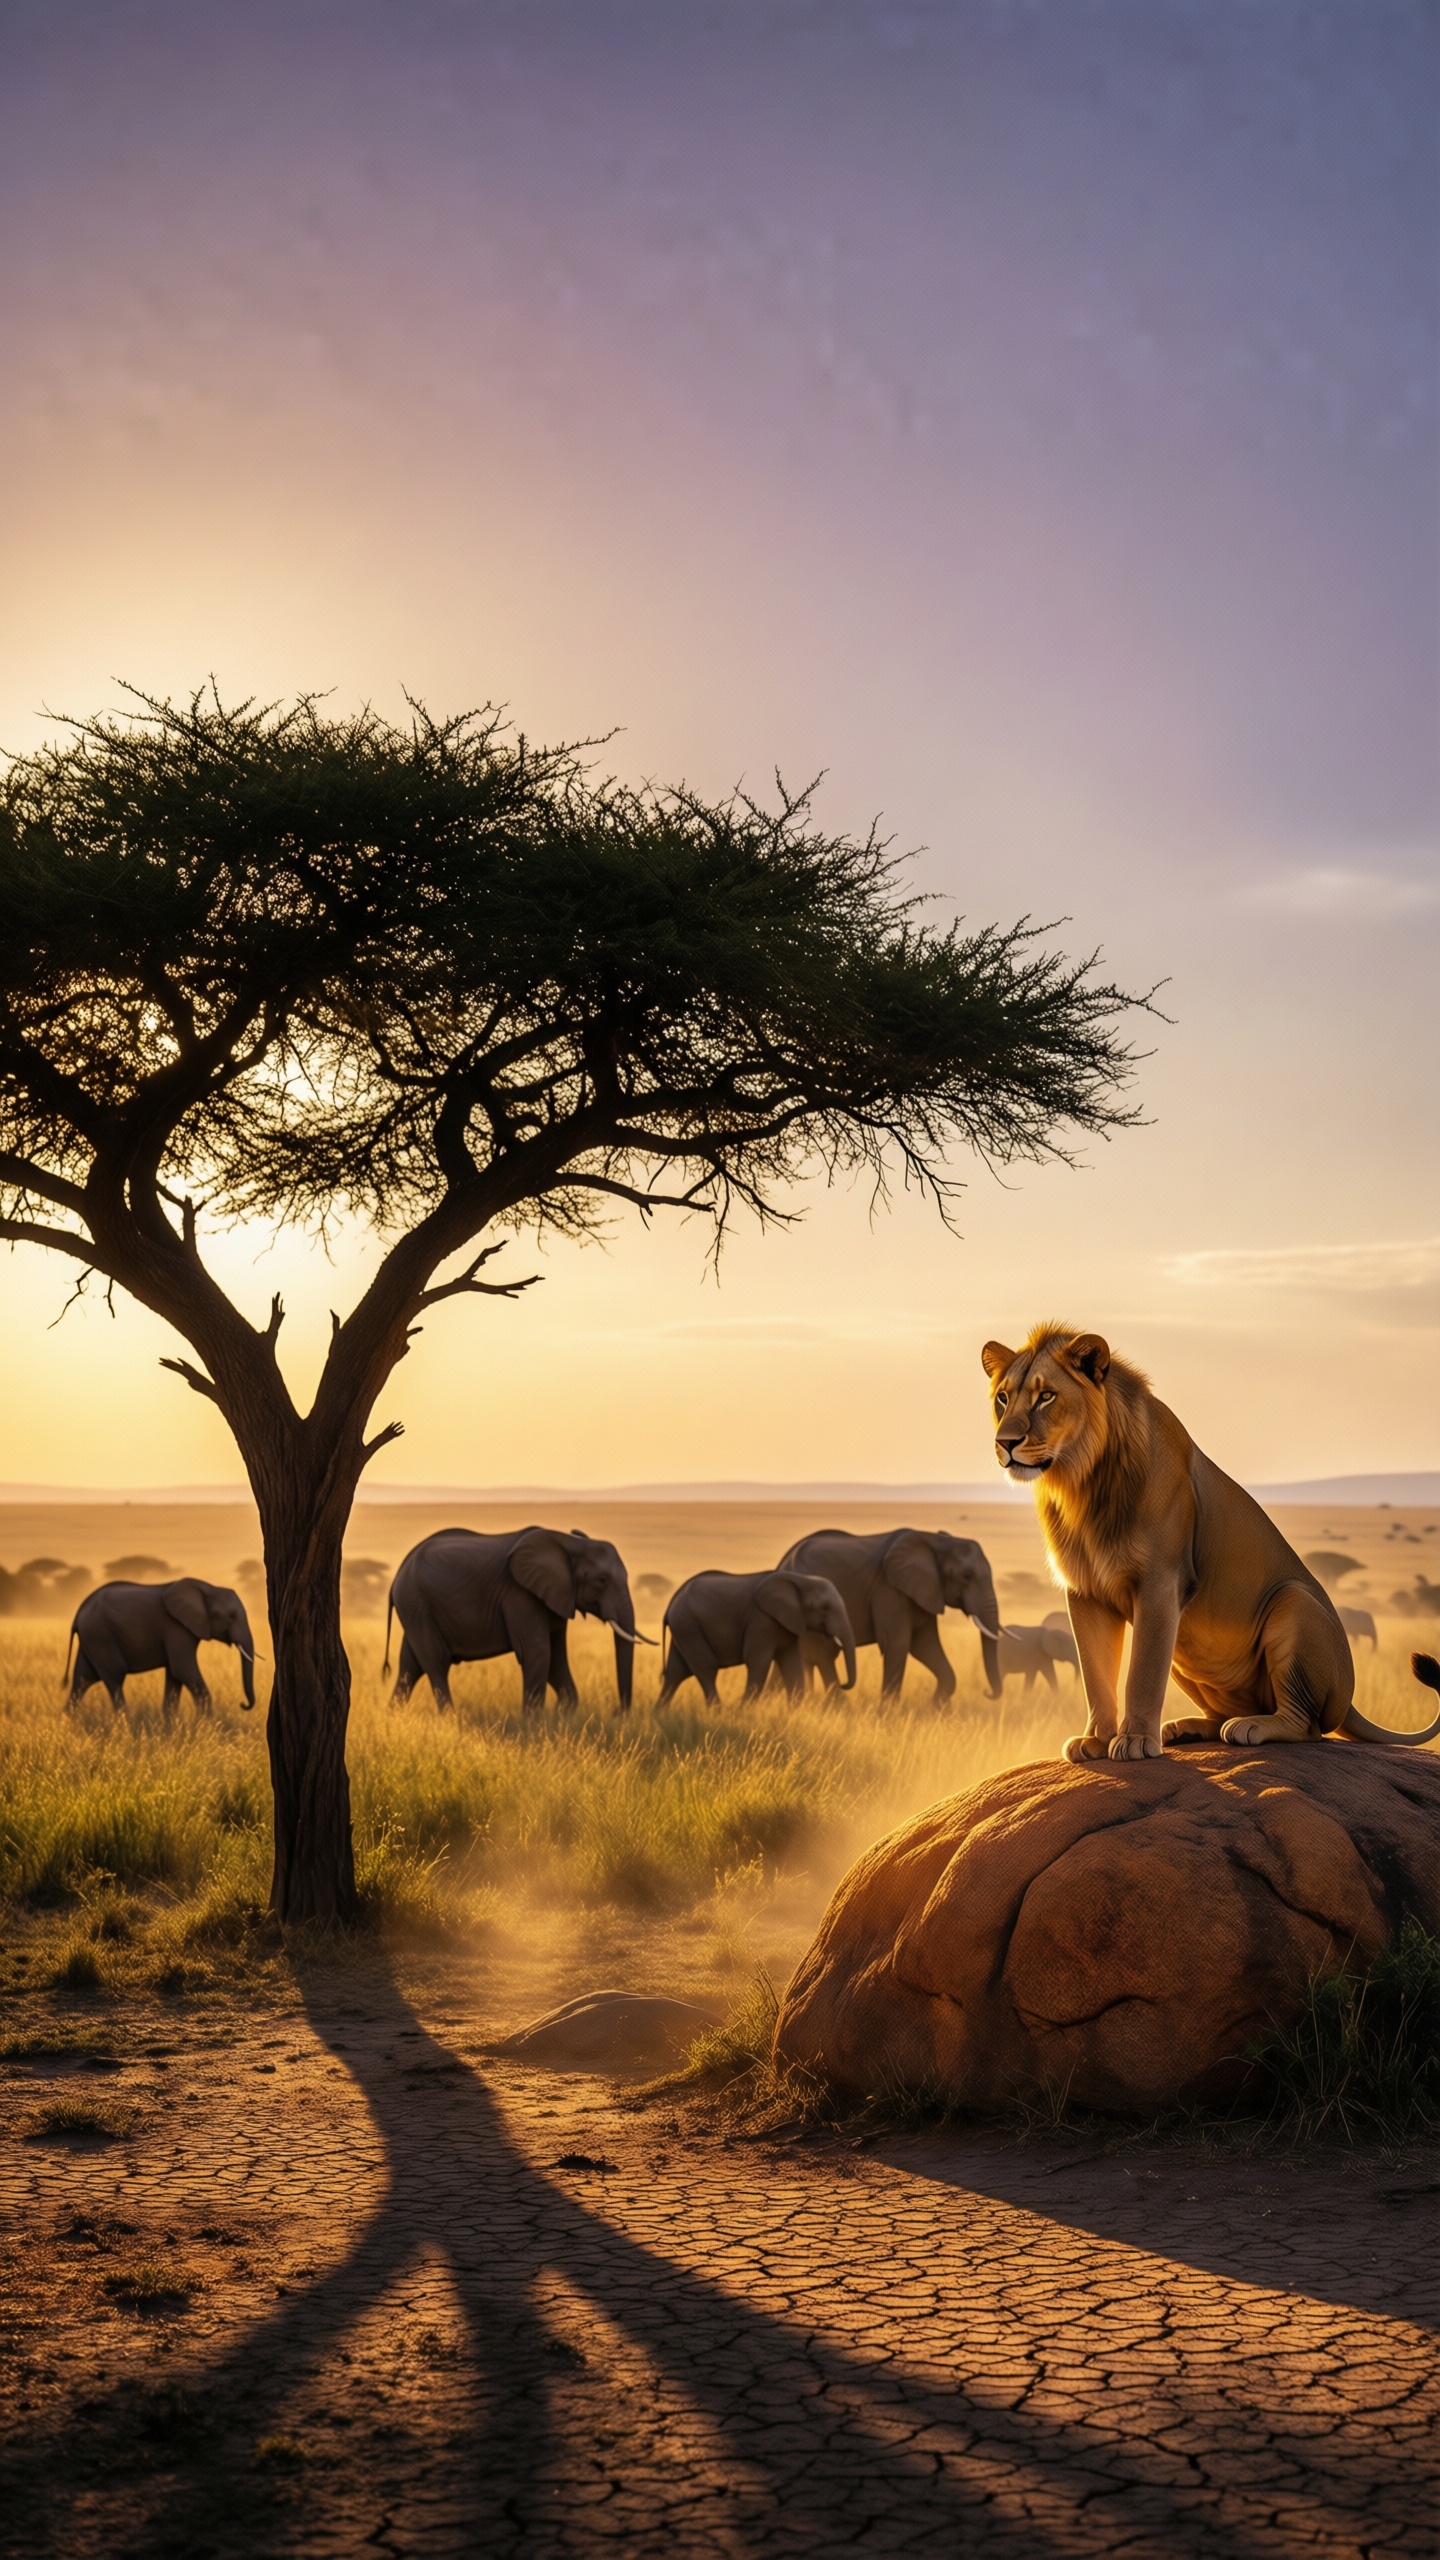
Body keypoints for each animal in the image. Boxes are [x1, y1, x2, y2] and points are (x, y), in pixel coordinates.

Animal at [66, 1578, 257, 1715]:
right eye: (231, 1616)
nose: (243, 1704)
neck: (208, 1588)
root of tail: (78, 1613)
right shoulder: (176, 1628)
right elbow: (182, 1670)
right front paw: (205, 1730)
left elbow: (175, 1676)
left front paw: (171, 1731)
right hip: (100, 1636)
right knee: (114, 1678)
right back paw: (126, 1727)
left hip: (92, 1639)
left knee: (82, 1680)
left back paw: (68, 1725)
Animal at [385, 1526, 646, 1712]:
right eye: (602, 1580)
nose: (616, 1711)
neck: (568, 1543)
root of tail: (397, 1575)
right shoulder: (519, 1595)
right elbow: (538, 1652)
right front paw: (533, 1728)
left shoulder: (556, 1597)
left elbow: (555, 1658)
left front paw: (561, 1718)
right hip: (415, 1602)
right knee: (436, 1661)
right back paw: (450, 1720)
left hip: (416, 1608)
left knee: (410, 1665)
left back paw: (394, 1718)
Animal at [658, 1570, 857, 1707]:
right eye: (825, 1608)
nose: (844, 1684)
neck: (801, 1579)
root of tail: (670, 1605)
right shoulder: (762, 1621)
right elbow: (758, 1662)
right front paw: (742, 1711)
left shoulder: (787, 1622)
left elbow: (792, 1663)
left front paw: (796, 1712)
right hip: (689, 1627)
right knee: (706, 1669)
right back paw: (718, 1713)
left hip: (684, 1629)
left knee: (676, 1673)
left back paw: (660, 1716)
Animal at [777, 1528, 1002, 1703]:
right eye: (967, 1576)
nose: (987, 1692)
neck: (936, 1541)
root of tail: (782, 1562)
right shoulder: (889, 1590)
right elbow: (899, 1644)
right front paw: (888, 1718)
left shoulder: (924, 1592)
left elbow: (926, 1647)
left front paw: (937, 1711)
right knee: (821, 1655)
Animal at [980, 1323, 1440, 1761]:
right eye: (1003, 1398)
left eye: (1046, 1397)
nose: (1005, 1443)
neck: (1080, 1484)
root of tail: (1349, 1700)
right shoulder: (1084, 1590)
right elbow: (1096, 1672)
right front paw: (1095, 1739)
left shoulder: (1161, 1582)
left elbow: (1142, 1673)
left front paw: (1134, 1741)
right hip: (1188, 1654)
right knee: (1229, 1712)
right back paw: (1186, 1728)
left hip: (1293, 1602)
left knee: (1307, 1726)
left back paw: (1249, 1727)